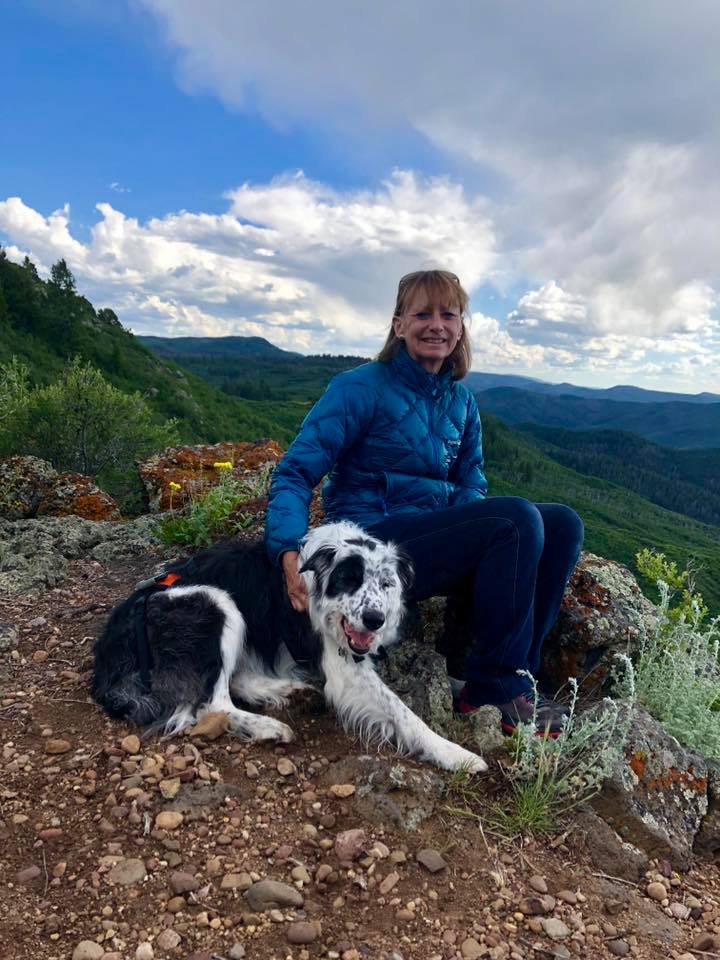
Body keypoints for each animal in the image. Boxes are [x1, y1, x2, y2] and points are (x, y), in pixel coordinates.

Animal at [88, 520, 484, 776]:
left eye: (386, 583)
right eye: (349, 579)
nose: (374, 620)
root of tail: (108, 657)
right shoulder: (345, 668)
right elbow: (403, 713)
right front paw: (454, 753)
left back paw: (291, 692)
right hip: (215, 601)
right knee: (210, 704)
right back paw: (268, 726)